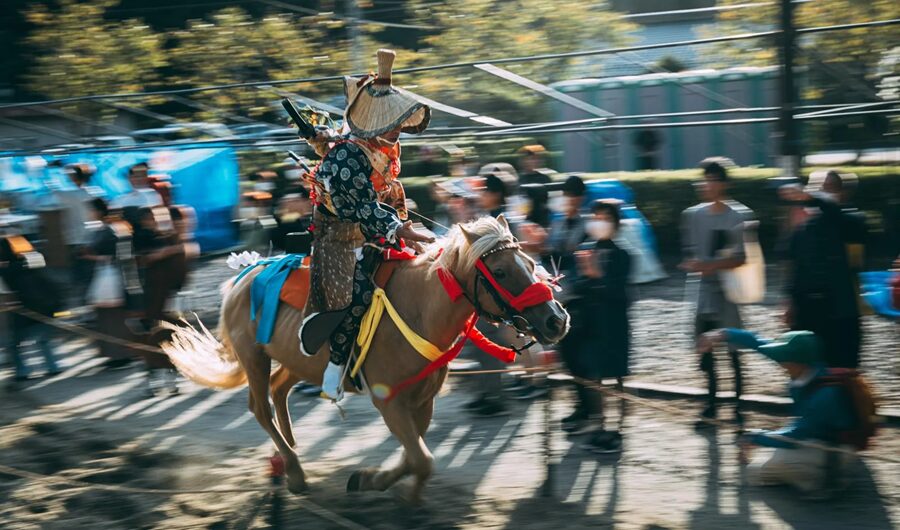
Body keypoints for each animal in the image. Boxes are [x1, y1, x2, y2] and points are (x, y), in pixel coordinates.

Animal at [162, 213, 568, 500]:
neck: (421, 309)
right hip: (254, 355)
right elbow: (422, 460)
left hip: (299, 358)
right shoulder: (389, 400)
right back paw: (294, 470)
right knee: (260, 407)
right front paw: (380, 485)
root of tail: (241, 276)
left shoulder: (422, 400)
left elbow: (415, 457)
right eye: (500, 270)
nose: (556, 320)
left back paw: (288, 453)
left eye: (529, 264)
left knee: (279, 391)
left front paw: (379, 483)